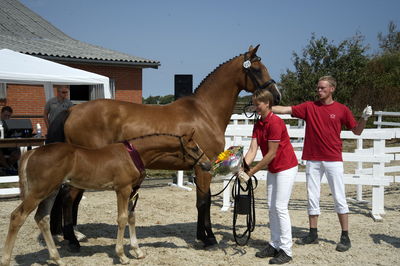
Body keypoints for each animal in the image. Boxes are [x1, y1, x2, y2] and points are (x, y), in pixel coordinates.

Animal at [0, 130, 211, 264]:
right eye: (194, 148)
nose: (208, 164)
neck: (133, 155)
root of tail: (32, 152)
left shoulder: (131, 191)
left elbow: (132, 217)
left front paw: (137, 251)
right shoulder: (122, 190)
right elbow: (122, 218)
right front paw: (122, 255)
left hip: (50, 191)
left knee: (41, 218)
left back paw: (57, 259)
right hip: (39, 191)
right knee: (17, 216)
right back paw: (7, 259)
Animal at [49, 44, 282, 247]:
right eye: (257, 69)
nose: (276, 96)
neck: (204, 112)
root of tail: (72, 110)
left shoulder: (203, 166)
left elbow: (203, 200)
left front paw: (203, 235)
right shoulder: (204, 168)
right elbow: (203, 202)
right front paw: (208, 238)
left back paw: (66, 234)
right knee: (68, 198)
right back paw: (72, 240)